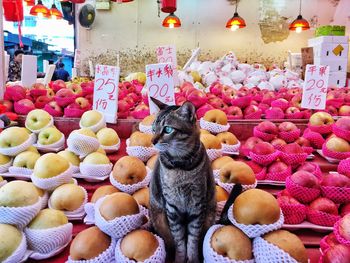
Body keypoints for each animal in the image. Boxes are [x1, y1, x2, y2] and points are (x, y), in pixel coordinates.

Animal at [149, 98, 242, 262]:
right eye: (153, 128)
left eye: (168, 130)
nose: (153, 141)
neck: (180, 165)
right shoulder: (172, 207)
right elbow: (179, 241)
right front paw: (180, 259)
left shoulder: (197, 204)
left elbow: (193, 239)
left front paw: (193, 259)